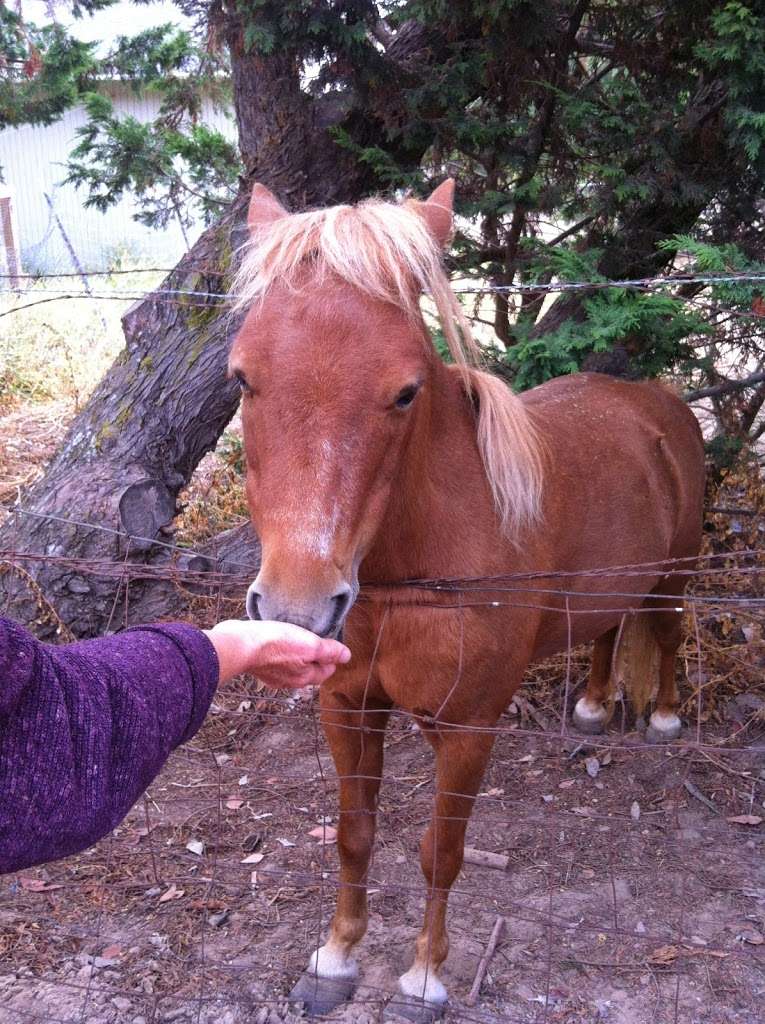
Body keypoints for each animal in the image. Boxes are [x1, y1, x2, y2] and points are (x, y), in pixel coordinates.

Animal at [229, 180, 704, 1019]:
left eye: (404, 392)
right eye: (243, 378)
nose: (297, 609)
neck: (409, 575)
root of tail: (659, 405)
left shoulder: (467, 729)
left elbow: (439, 851)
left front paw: (423, 974)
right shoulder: (348, 708)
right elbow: (354, 833)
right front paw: (335, 958)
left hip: (673, 579)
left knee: (667, 634)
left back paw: (666, 718)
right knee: (608, 630)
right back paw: (591, 704)